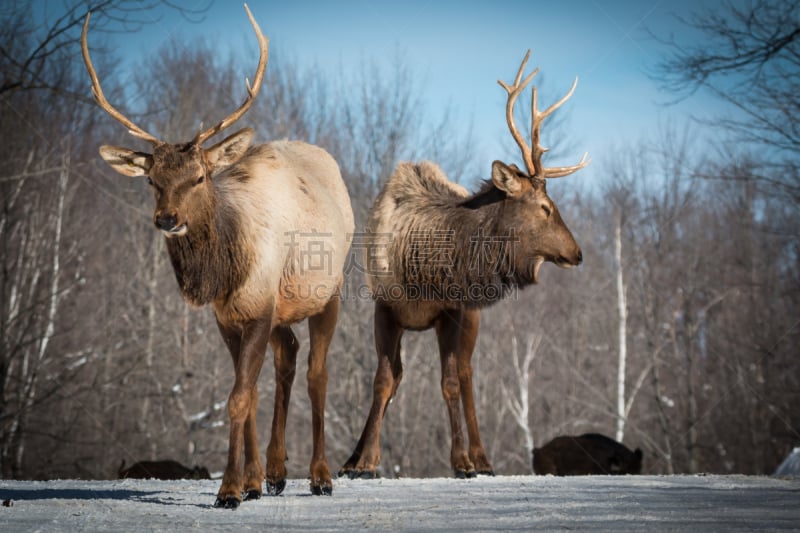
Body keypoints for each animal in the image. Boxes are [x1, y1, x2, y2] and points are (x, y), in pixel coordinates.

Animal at [81, 3, 354, 508]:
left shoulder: (259, 310)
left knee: (316, 371)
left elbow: (238, 397)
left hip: (329, 293)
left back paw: (321, 475)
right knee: (288, 358)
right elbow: (246, 395)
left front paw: (228, 490)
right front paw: (250, 482)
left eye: (200, 177)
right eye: (152, 181)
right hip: (283, 309)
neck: (224, 273)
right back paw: (277, 472)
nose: (168, 219)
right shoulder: (229, 317)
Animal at [338, 51, 588, 478]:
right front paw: (363, 461)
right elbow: (383, 380)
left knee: (468, 374)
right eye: (545, 207)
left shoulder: (452, 311)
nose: (577, 252)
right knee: (402, 375)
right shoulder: (384, 307)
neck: (423, 272)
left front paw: (461, 461)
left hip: (472, 315)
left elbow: (451, 381)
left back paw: (482, 458)